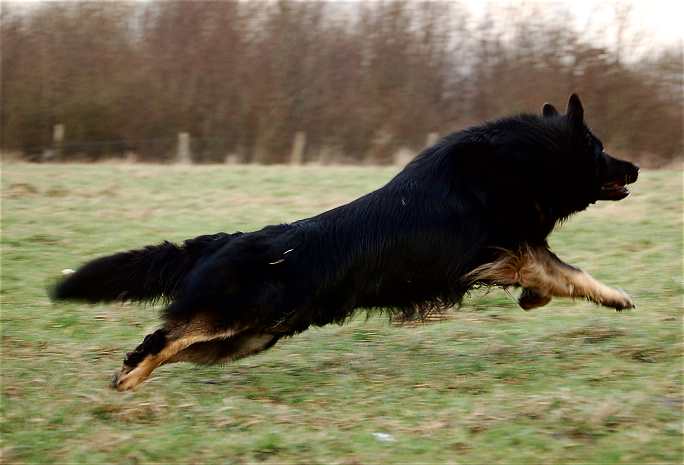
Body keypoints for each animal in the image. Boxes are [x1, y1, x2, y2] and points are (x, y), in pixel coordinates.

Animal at [53, 94, 639, 391]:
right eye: (601, 149)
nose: (635, 167)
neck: (525, 159)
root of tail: (224, 242)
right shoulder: (511, 248)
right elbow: (570, 273)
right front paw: (615, 297)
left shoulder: (509, 255)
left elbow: (553, 281)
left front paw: (536, 300)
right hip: (240, 317)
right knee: (163, 338)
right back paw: (129, 379)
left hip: (246, 338)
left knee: (171, 340)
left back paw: (130, 374)